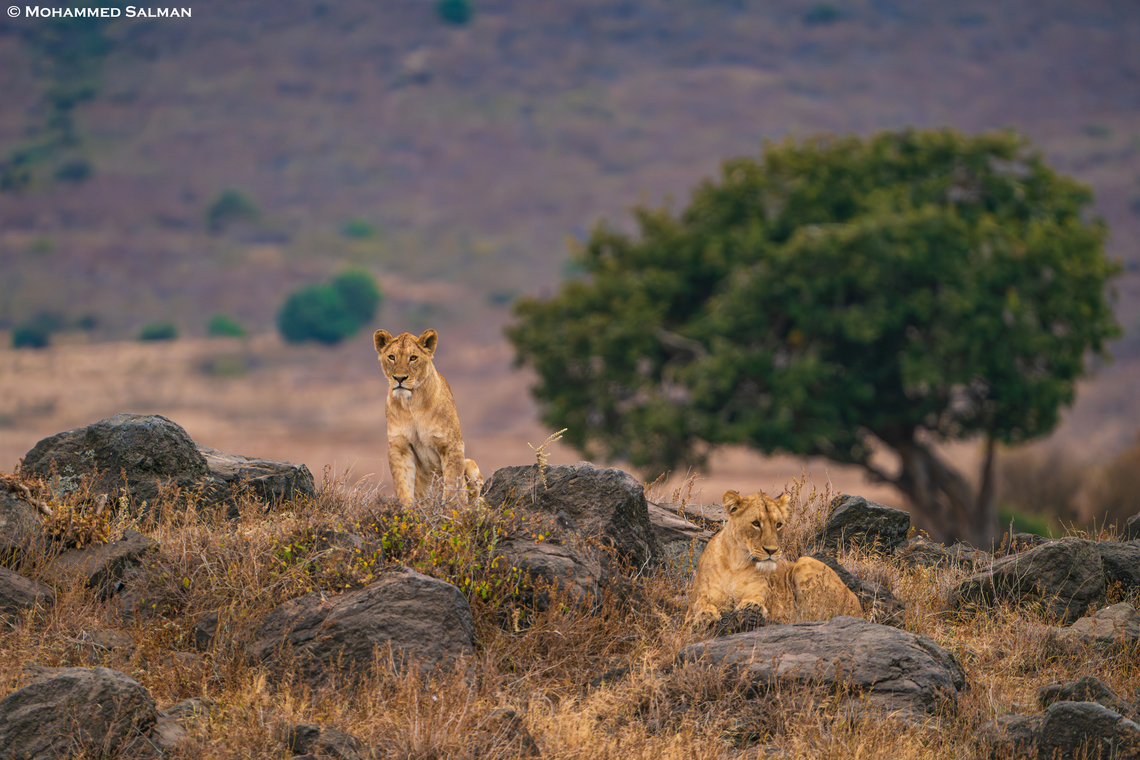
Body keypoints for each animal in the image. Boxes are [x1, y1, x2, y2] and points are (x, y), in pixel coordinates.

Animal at [374, 328, 482, 505]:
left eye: (413, 358)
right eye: (391, 357)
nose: (399, 378)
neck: (411, 404)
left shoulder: (451, 446)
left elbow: (451, 486)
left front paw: (449, 510)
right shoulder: (399, 447)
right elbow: (403, 484)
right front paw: (407, 510)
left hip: (469, 463)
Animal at [686, 490, 862, 628]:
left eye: (778, 524)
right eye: (756, 523)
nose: (772, 550)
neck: (737, 562)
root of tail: (859, 606)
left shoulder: (759, 594)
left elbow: (755, 602)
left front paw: (751, 606)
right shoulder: (695, 601)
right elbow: (699, 605)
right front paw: (706, 615)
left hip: (805, 562)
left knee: (809, 615)